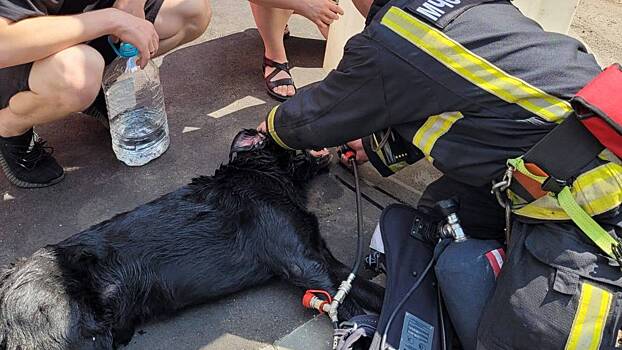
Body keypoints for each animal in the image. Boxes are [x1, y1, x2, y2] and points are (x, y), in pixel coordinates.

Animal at [0, 131, 386, 350]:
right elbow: (354, 310)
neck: (262, 175)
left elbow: (373, 293)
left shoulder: (327, 261)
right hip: (81, 336)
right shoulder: (305, 264)